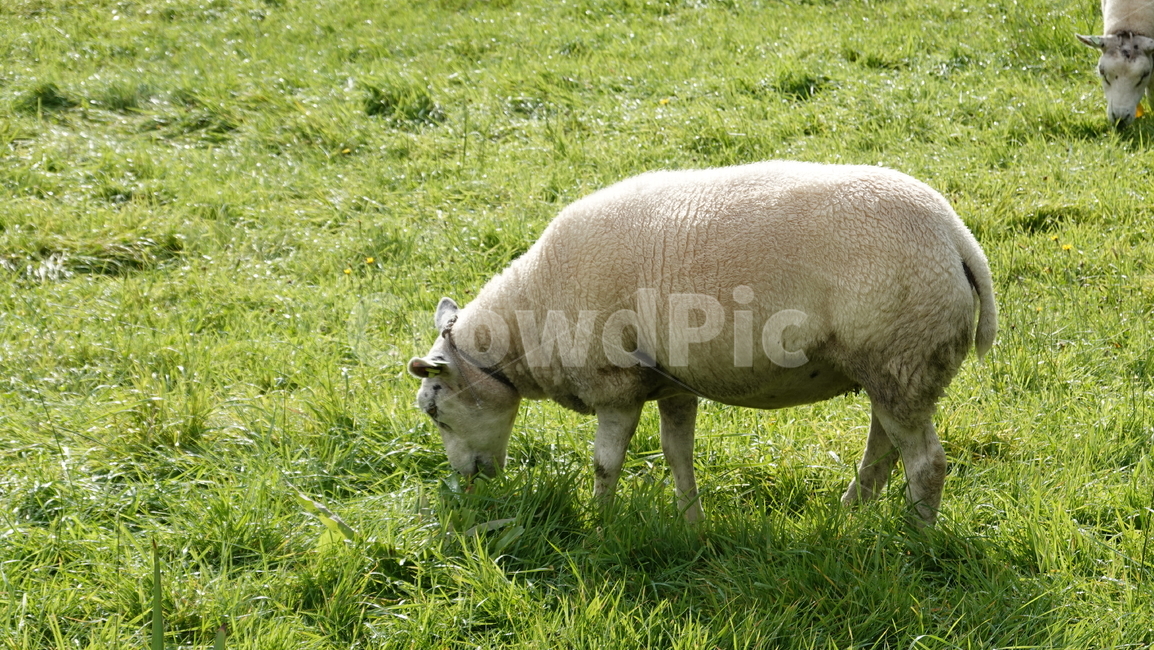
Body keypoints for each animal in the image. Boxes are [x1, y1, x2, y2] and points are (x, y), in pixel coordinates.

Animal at [408, 161, 996, 526]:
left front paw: (599, 523)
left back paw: (916, 541)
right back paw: (851, 512)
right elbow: (677, 454)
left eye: (435, 411)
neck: (530, 317)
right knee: (883, 449)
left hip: (902, 358)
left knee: (925, 464)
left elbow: (605, 463)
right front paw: (690, 521)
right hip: (891, 365)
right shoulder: (672, 381)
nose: (469, 479)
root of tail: (956, 236)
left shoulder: (613, 383)